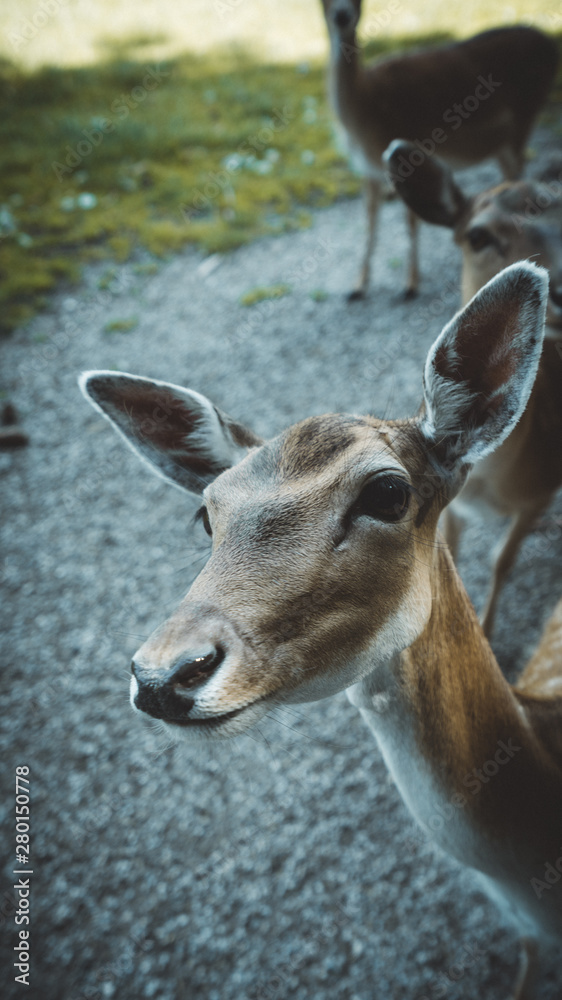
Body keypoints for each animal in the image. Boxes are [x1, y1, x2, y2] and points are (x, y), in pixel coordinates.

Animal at [320, 0, 556, 300]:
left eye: (360, 1)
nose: (342, 15)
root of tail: (551, 44)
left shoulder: (407, 150)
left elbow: (410, 222)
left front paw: (410, 285)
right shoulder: (368, 170)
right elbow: (370, 223)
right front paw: (358, 286)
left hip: (524, 120)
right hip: (504, 142)